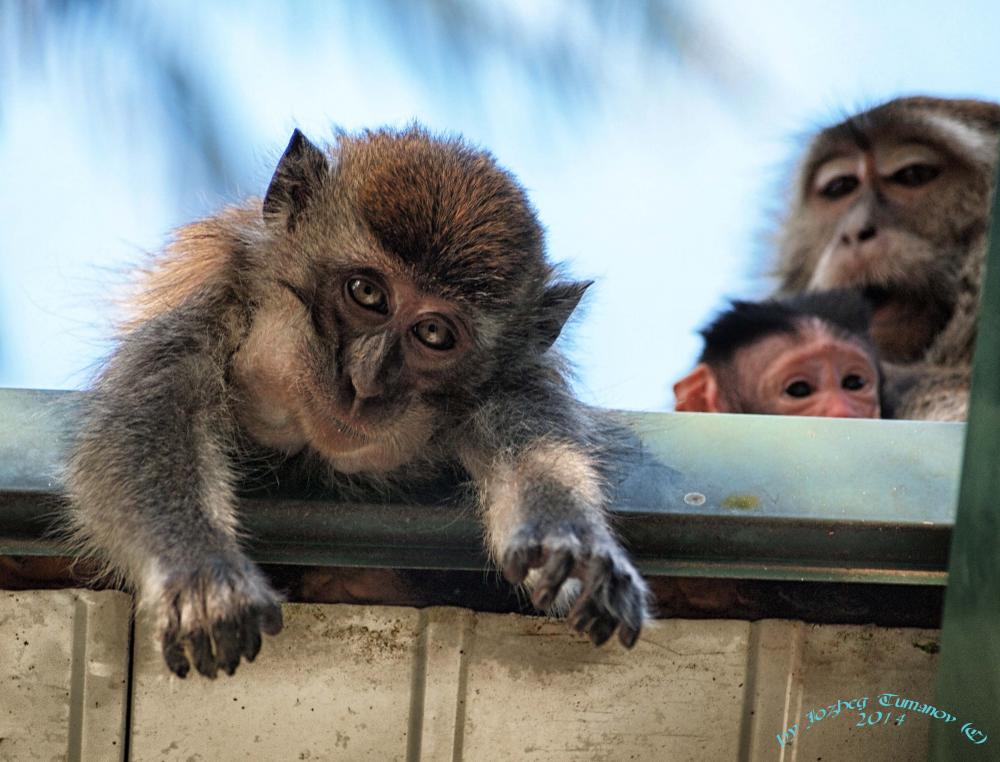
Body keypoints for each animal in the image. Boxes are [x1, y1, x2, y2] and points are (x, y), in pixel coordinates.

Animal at [68, 126, 648, 676]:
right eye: (367, 293)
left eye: (434, 333)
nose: (365, 382)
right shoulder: (214, 304)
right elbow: (146, 420)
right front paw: (201, 573)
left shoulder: (514, 383)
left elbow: (532, 449)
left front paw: (568, 545)